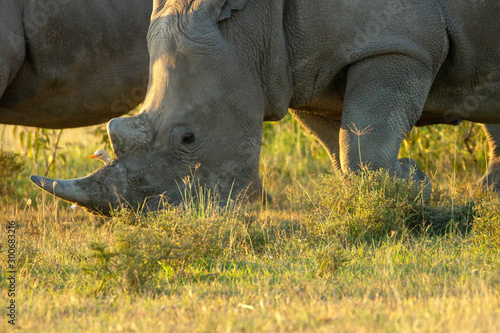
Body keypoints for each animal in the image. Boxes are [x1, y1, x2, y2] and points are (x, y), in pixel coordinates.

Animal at [29, 0, 500, 214]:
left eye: (188, 137)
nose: (155, 219)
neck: (251, 20)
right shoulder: (305, 70)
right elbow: (341, 145)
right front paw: (400, 185)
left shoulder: (399, 43)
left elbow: (363, 139)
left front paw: (407, 191)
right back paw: (490, 193)